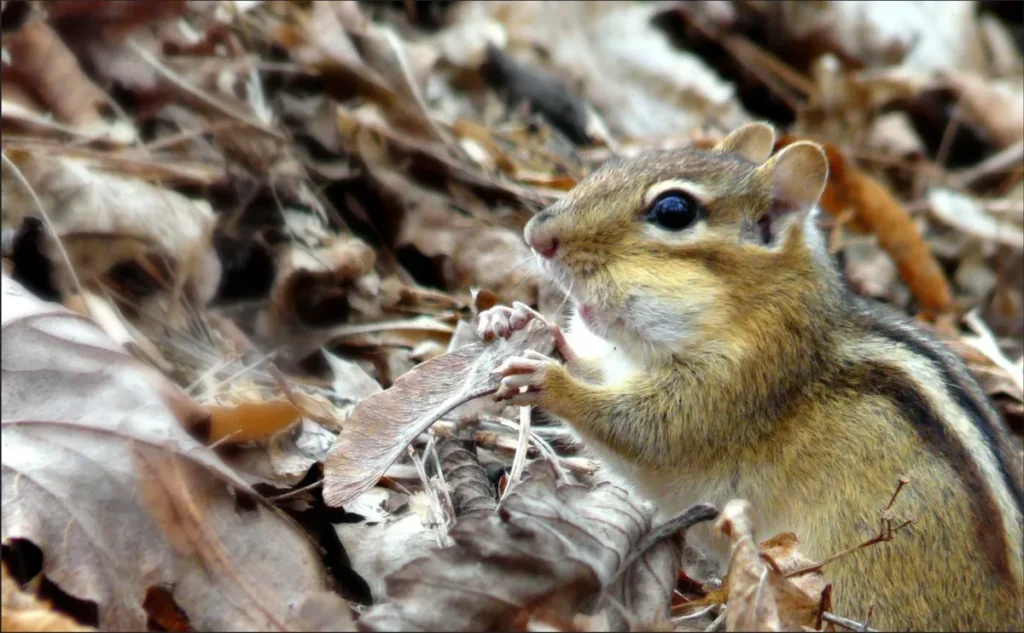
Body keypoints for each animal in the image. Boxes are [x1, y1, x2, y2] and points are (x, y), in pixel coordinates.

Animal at [477, 122, 1024, 631]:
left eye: (673, 211)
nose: (536, 235)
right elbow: (592, 362)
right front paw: (516, 320)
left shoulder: (736, 387)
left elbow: (646, 432)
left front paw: (548, 381)